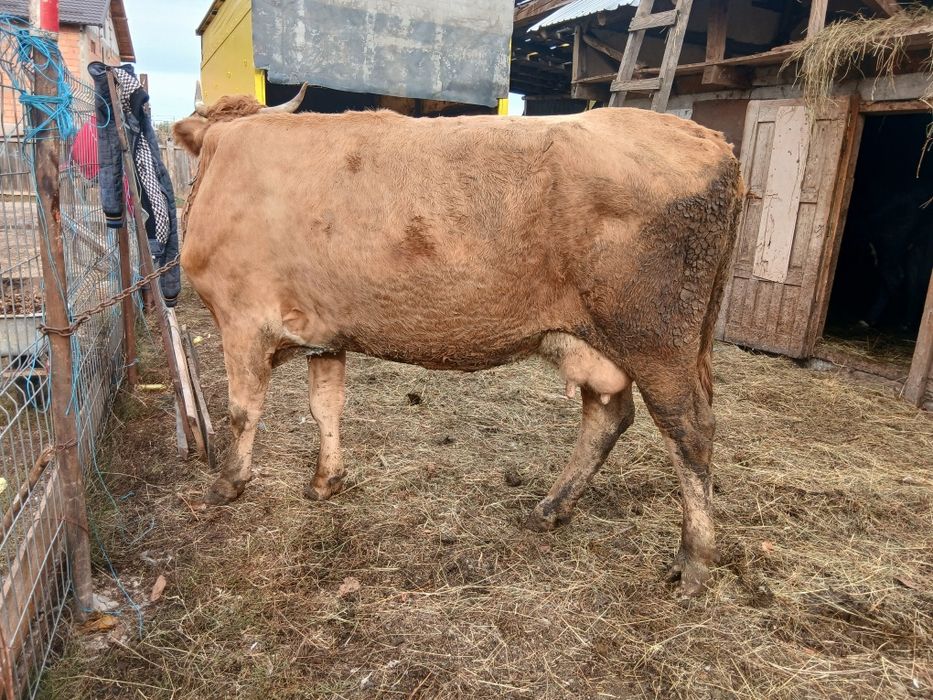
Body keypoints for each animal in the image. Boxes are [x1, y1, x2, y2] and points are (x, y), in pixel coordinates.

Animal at [172, 86, 743, 596]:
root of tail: (710, 141)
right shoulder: (325, 330)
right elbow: (325, 405)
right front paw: (325, 481)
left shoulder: (241, 317)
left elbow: (242, 409)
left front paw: (227, 483)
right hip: (604, 340)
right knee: (607, 415)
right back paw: (551, 508)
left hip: (656, 339)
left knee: (690, 431)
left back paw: (693, 561)